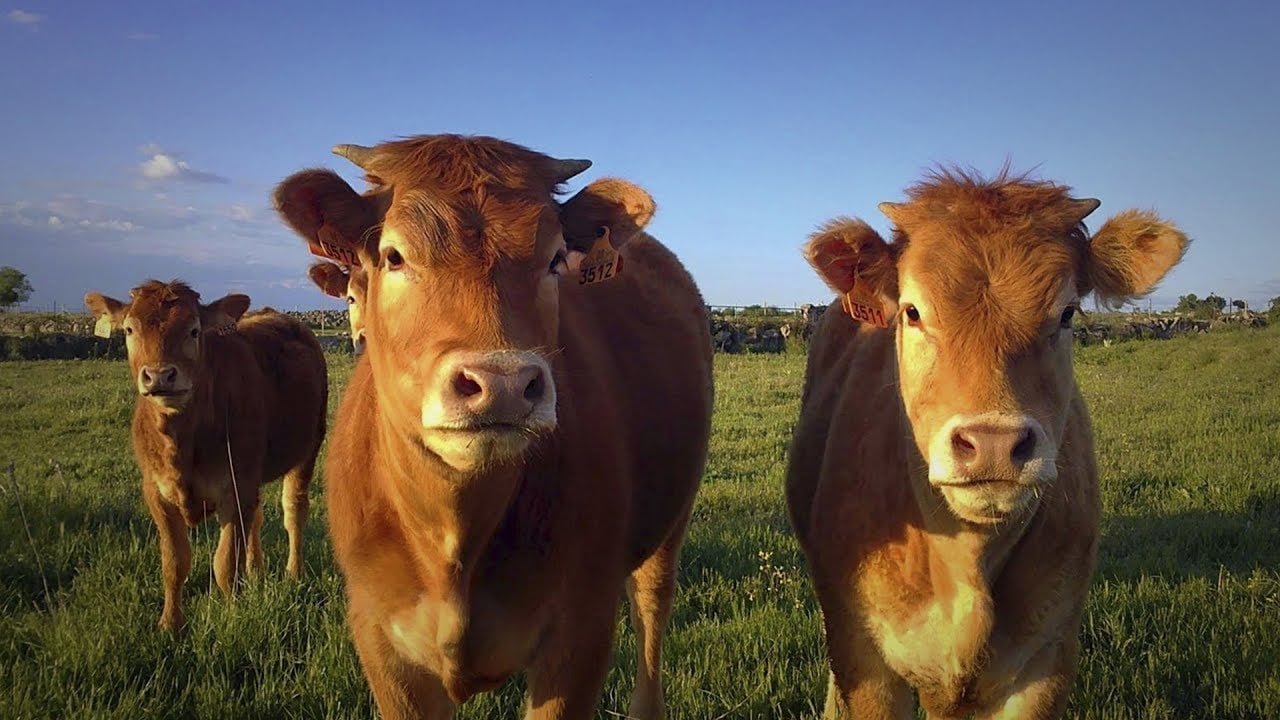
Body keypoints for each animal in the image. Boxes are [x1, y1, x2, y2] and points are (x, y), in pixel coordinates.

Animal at [83, 280, 327, 627]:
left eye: (194, 330)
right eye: (129, 329)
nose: (159, 375)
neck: (183, 442)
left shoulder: (235, 488)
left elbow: (225, 564)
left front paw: (231, 616)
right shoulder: (157, 493)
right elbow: (174, 563)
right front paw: (170, 624)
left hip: (308, 447)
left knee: (293, 511)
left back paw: (294, 572)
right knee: (257, 518)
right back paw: (256, 572)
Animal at [271, 135, 716, 717]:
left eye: (556, 259)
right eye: (394, 256)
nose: (501, 382)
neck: (454, 538)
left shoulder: (580, 635)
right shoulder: (381, 643)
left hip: (671, 522)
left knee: (651, 607)